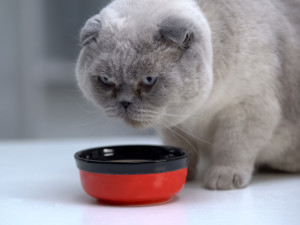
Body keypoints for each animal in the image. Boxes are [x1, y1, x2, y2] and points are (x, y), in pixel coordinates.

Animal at [75, 0, 300, 190]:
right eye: (106, 80)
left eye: (148, 80)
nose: (124, 103)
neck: (200, 110)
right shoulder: (173, 123)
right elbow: (182, 147)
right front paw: (188, 176)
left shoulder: (246, 109)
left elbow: (232, 148)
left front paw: (222, 180)